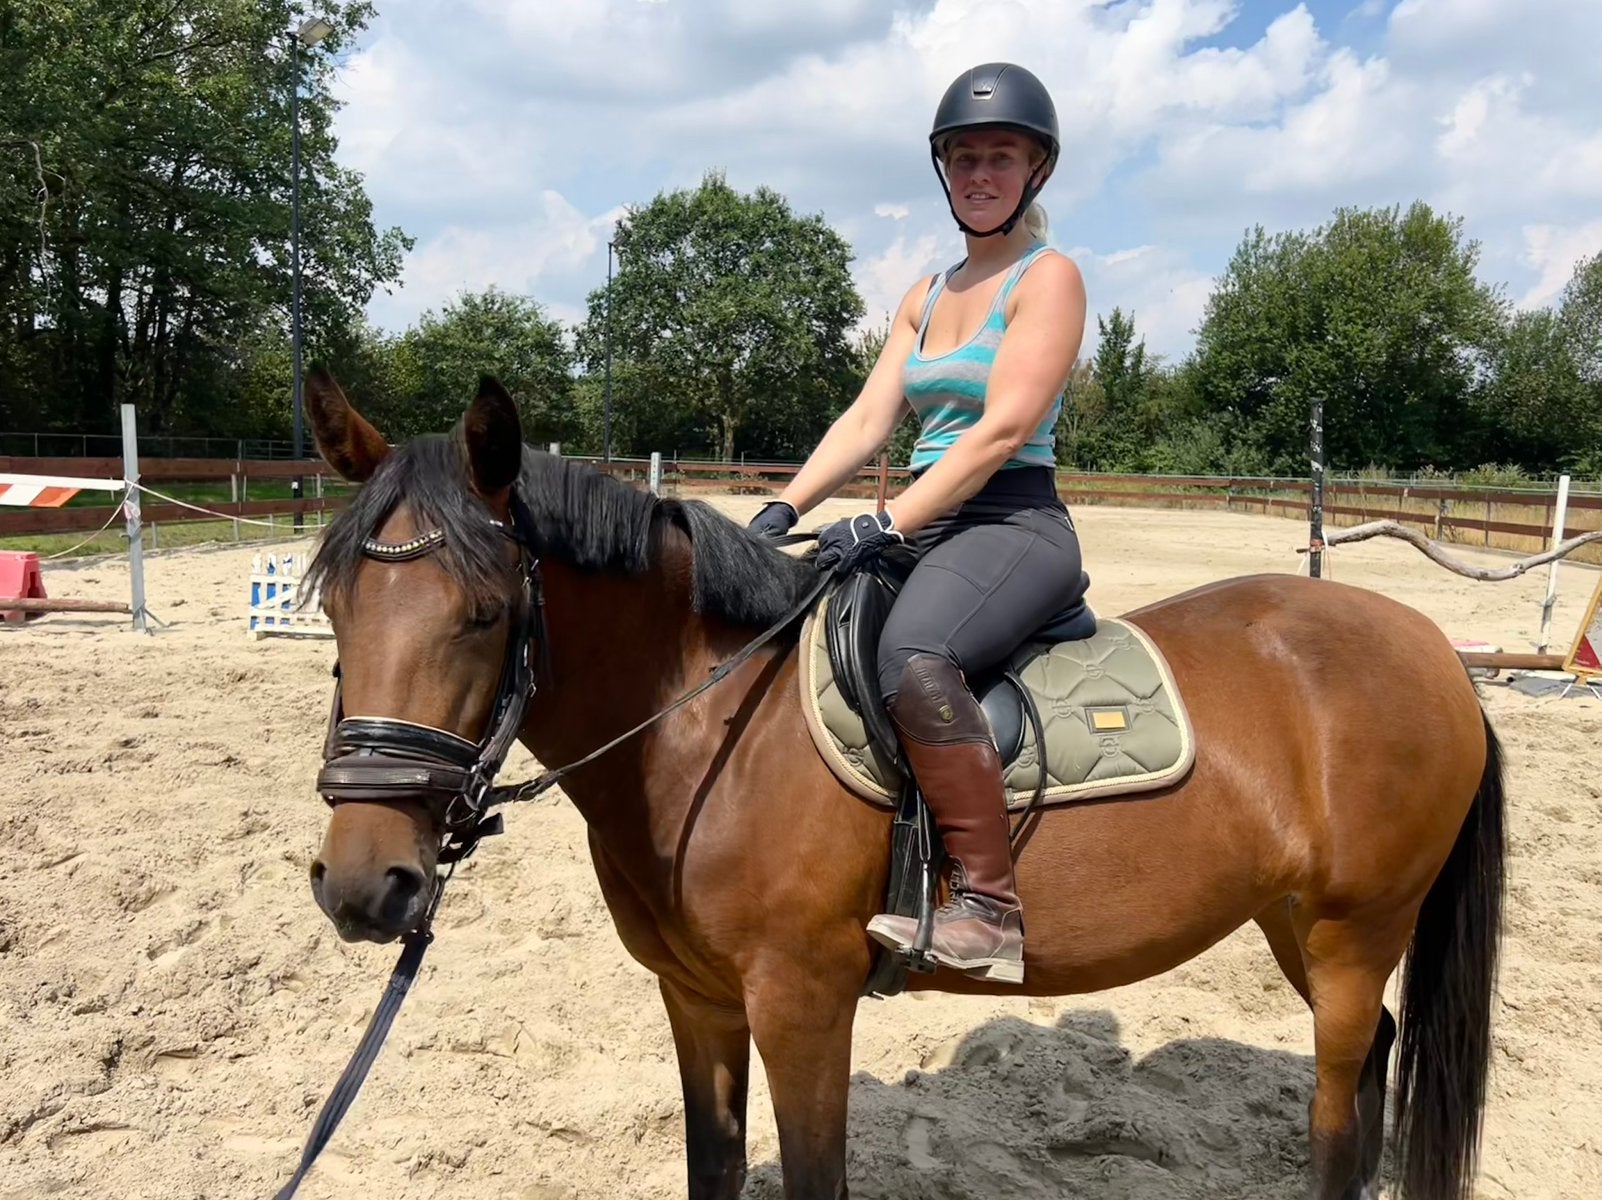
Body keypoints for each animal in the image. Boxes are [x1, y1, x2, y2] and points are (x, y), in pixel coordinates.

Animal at [296, 369, 1505, 1200]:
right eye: (332, 607)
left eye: (485, 615)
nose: (365, 890)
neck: (704, 722)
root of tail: (1435, 650)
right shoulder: (696, 999)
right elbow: (712, 1167)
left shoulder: (802, 1001)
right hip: (1294, 921)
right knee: (1371, 1060)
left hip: (1355, 927)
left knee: (1338, 1107)